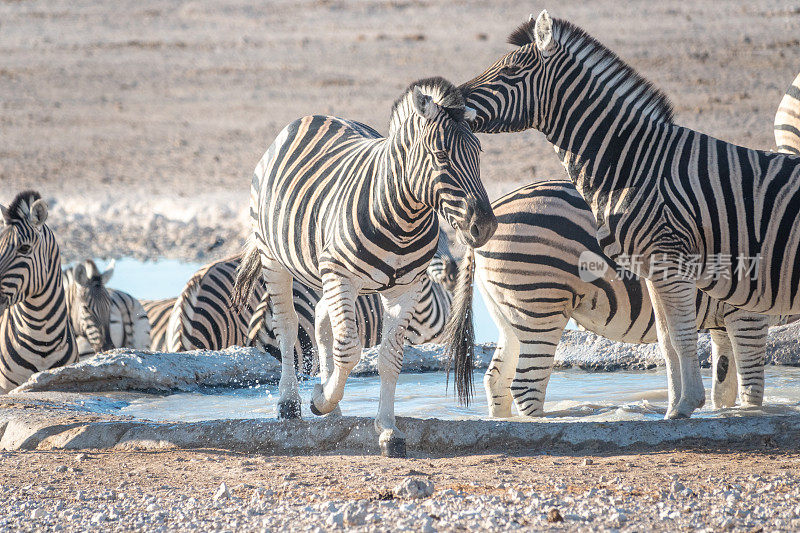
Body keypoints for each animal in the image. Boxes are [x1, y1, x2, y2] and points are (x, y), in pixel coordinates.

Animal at [230, 77, 494, 456]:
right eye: (441, 156)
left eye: (478, 154)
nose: (485, 227)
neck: (403, 218)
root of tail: (311, 117)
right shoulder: (341, 276)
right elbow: (349, 350)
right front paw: (320, 401)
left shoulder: (406, 289)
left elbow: (389, 358)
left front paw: (387, 429)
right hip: (275, 258)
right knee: (288, 325)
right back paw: (290, 402)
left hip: (328, 272)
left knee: (321, 319)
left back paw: (328, 400)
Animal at [460, 11, 800, 420]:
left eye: (510, 71)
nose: (449, 103)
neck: (638, 163)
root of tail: (496, 208)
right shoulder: (740, 307)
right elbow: (719, 368)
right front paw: (686, 407)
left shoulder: (721, 306)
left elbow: (721, 380)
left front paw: (695, 408)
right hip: (539, 305)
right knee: (524, 386)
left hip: (513, 315)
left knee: (499, 381)